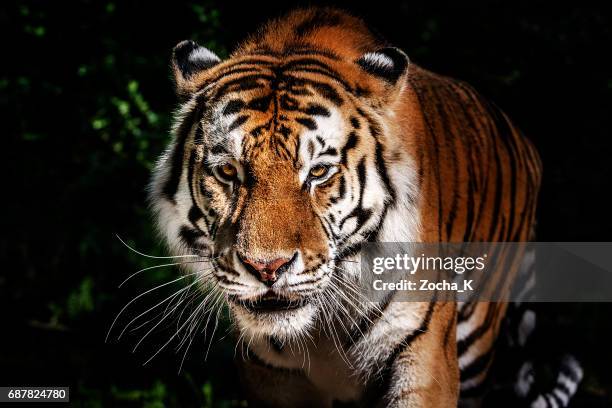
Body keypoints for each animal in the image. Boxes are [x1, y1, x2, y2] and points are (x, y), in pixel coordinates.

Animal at [148, 7, 584, 408]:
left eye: (319, 171)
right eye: (227, 170)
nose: (266, 268)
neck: (320, 330)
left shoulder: (423, 355)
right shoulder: (268, 373)